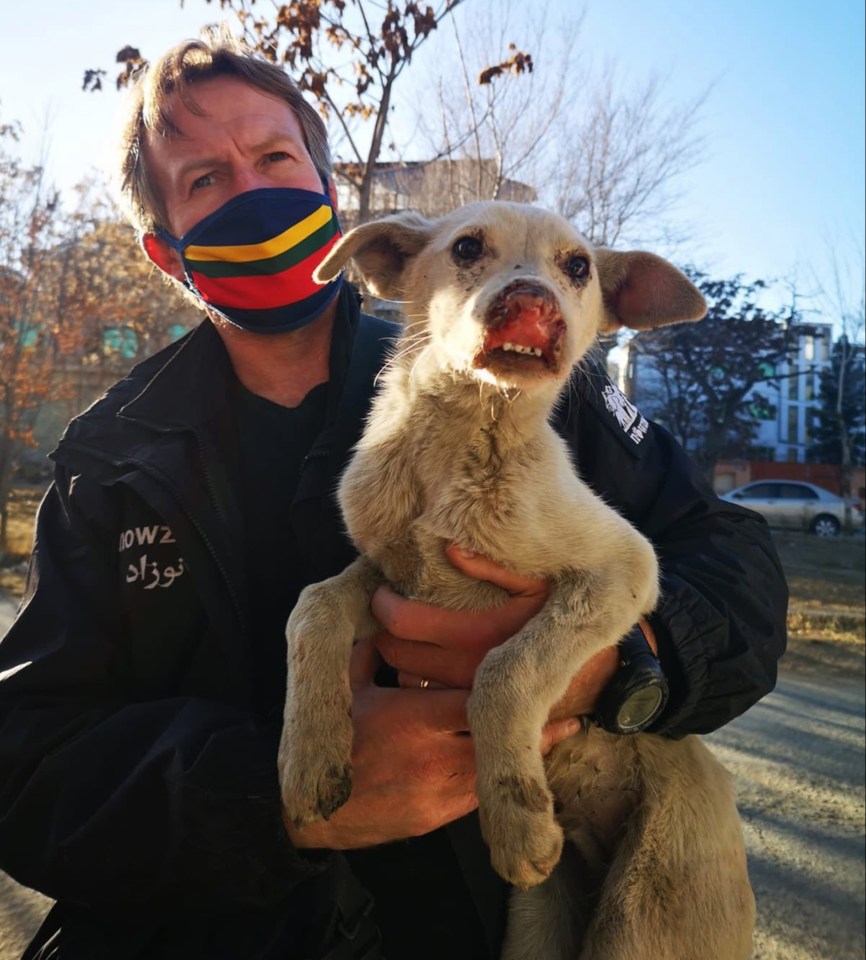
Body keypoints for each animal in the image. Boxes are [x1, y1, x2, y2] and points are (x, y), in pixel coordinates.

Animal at [278, 199, 756, 956]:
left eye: (579, 266)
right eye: (467, 248)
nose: (533, 303)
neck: (460, 444)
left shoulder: (625, 567)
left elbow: (505, 670)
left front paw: (518, 823)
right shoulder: (391, 574)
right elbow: (313, 604)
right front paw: (308, 762)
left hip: (644, 916)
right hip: (536, 923)